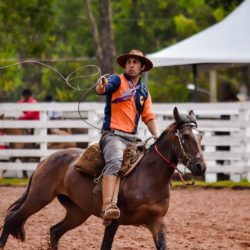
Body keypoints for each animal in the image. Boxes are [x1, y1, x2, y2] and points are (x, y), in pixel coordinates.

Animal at [0, 106, 206, 249]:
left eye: (200, 137)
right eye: (185, 136)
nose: (200, 166)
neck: (147, 179)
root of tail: (46, 159)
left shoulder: (157, 222)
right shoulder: (113, 221)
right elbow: (105, 245)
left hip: (77, 212)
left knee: (55, 232)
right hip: (38, 198)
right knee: (11, 219)